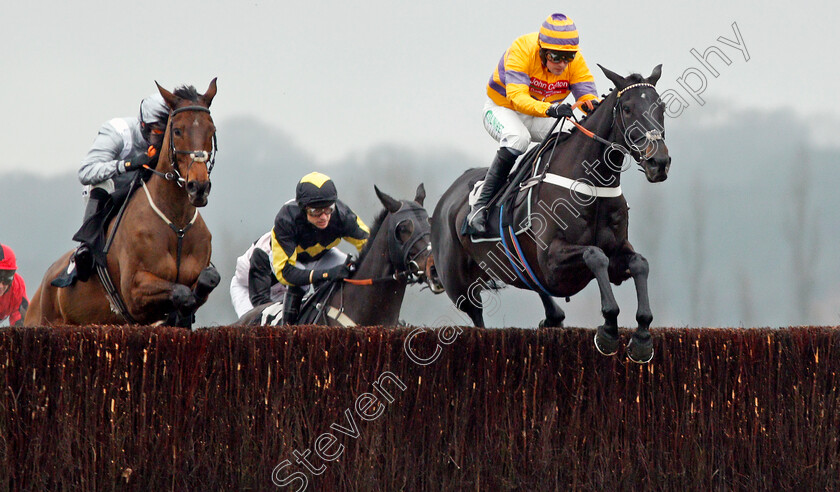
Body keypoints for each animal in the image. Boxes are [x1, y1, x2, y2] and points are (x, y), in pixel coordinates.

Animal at [26, 79, 221, 328]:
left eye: (211, 131)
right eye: (177, 130)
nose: (198, 187)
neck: (176, 222)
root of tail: (44, 283)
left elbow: (207, 280)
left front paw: (182, 313)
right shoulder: (134, 293)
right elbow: (181, 292)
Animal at [236, 184, 434, 326]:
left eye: (430, 223)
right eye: (402, 229)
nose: (433, 267)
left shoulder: (346, 220)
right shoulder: (284, 226)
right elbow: (286, 269)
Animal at [430, 65, 672, 362]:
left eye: (661, 107)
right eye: (627, 108)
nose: (658, 162)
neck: (591, 184)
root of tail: (446, 199)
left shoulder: (616, 254)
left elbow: (639, 263)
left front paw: (642, 336)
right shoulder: (552, 262)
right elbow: (595, 255)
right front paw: (608, 329)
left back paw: (553, 318)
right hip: (459, 286)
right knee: (476, 317)